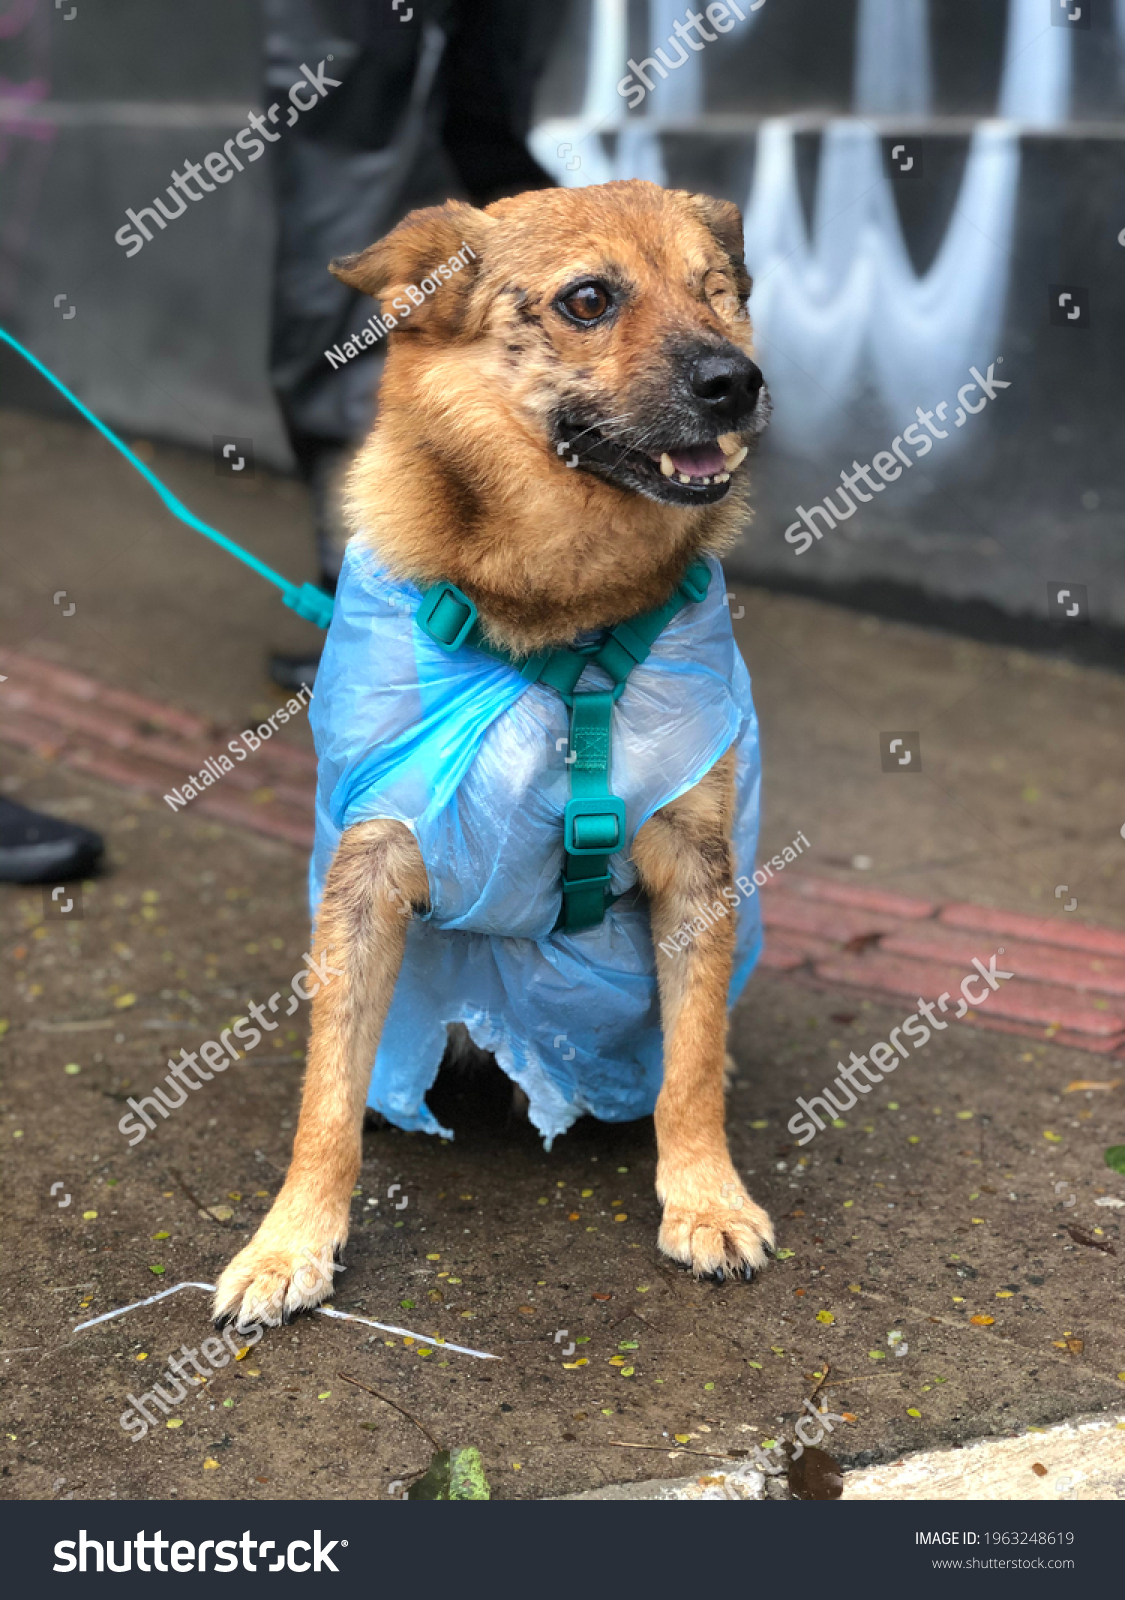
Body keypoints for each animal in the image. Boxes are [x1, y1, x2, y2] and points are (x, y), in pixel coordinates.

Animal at [214, 175, 774, 1331]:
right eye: (589, 299)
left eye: (718, 292)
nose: (736, 384)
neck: (561, 625)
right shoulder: (370, 865)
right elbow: (323, 1095)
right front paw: (290, 1241)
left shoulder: (695, 867)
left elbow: (692, 1068)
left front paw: (705, 1197)